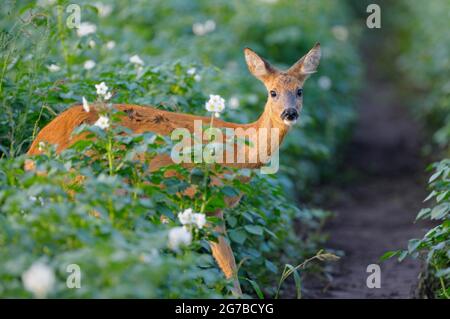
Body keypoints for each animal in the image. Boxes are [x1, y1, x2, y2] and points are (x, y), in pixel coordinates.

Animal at [27, 43, 320, 296]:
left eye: (300, 91)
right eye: (272, 92)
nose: (290, 113)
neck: (239, 151)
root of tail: (33, 152)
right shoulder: (208, 201)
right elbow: (228, 265)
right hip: (89, 184)